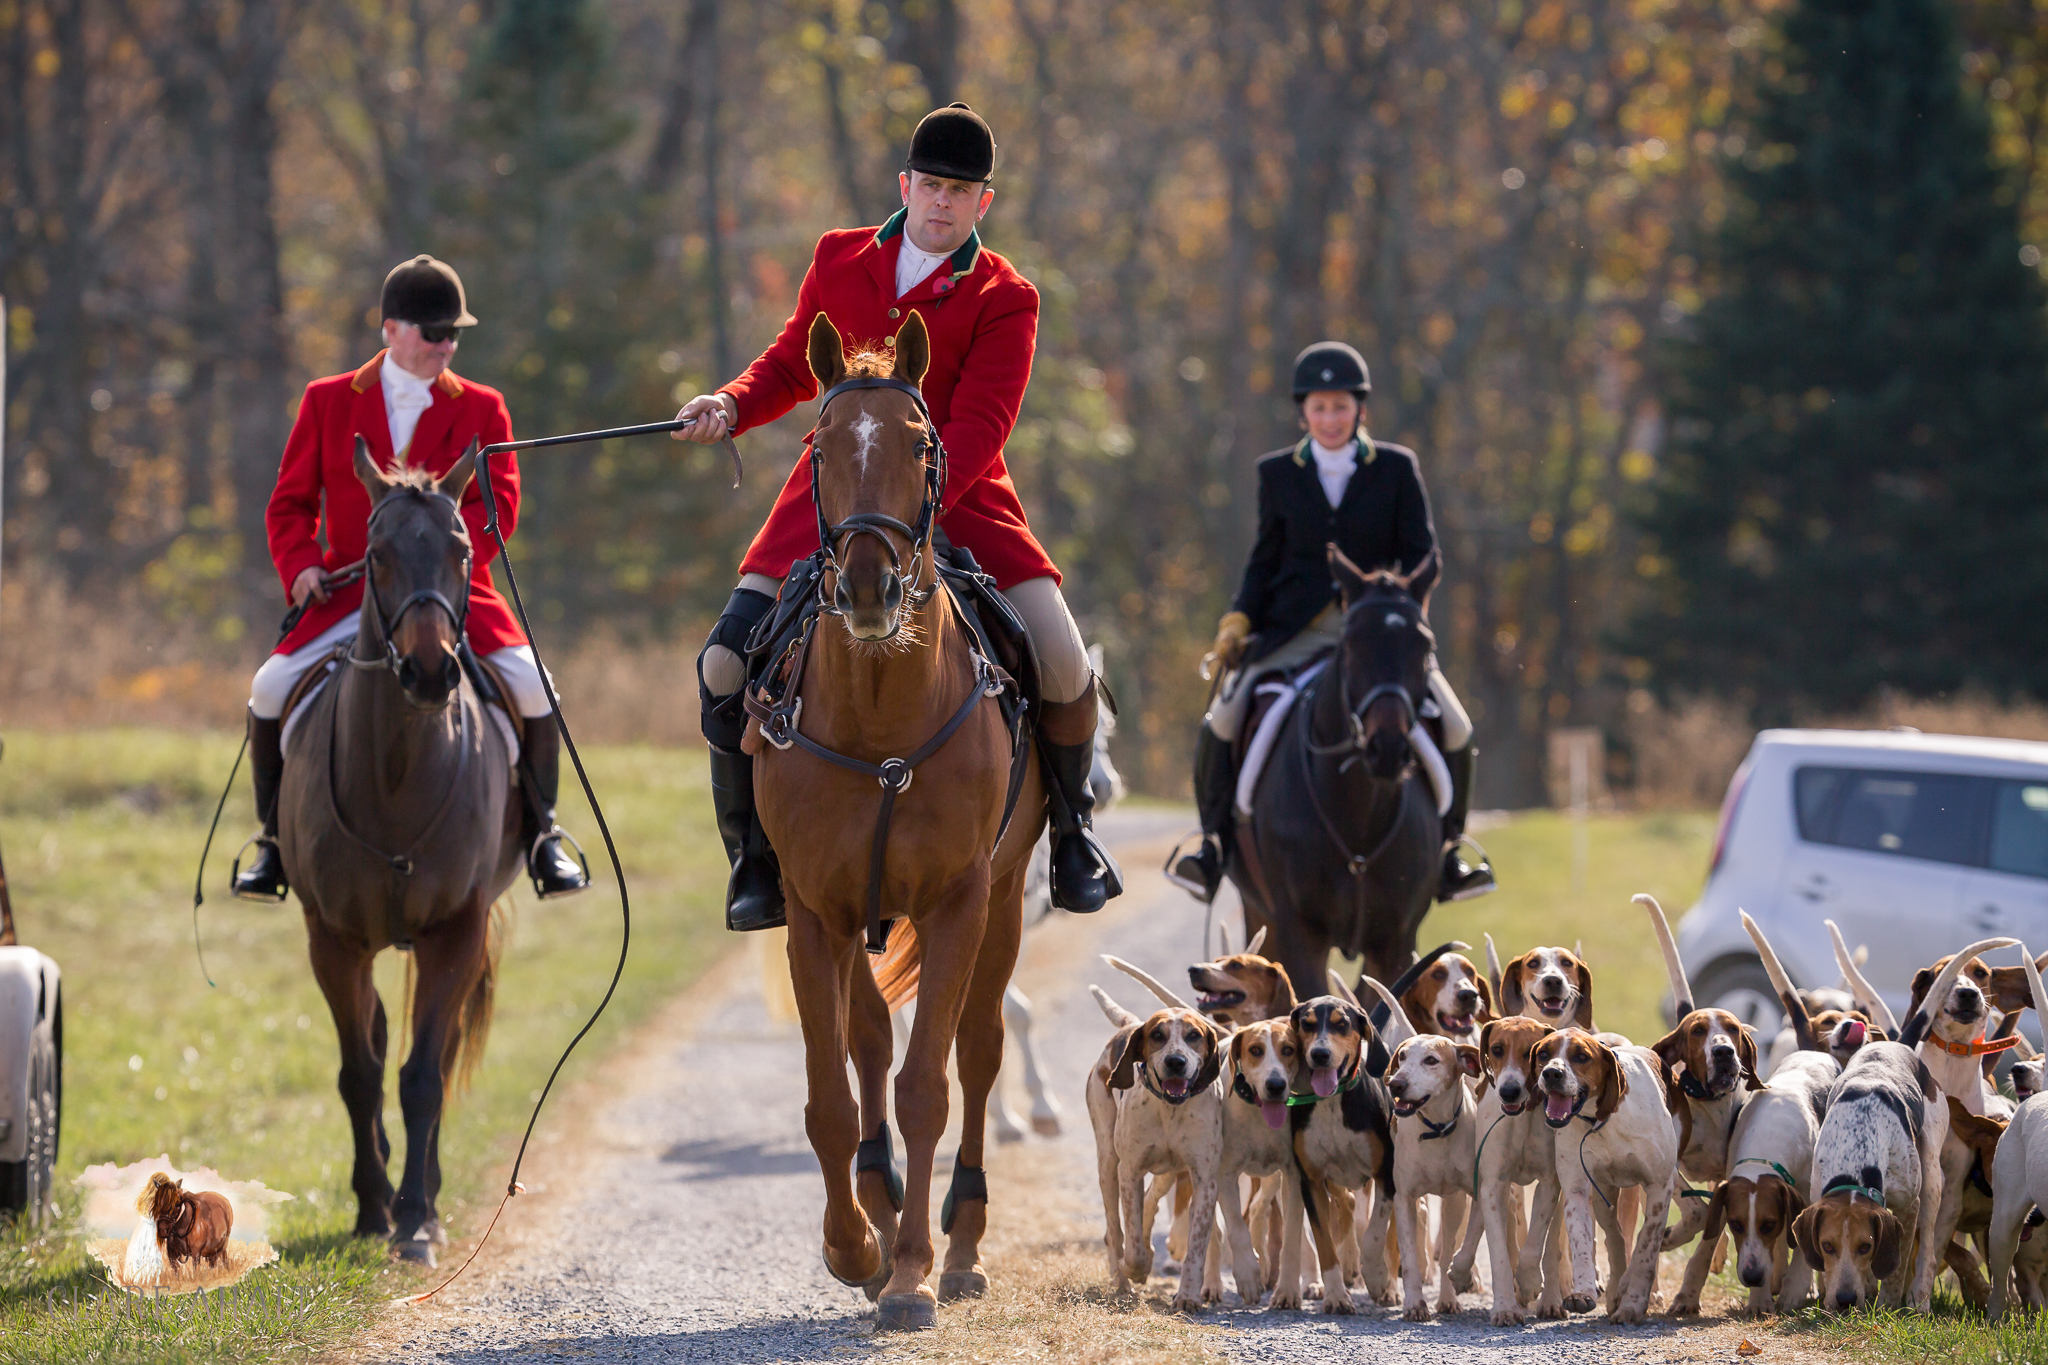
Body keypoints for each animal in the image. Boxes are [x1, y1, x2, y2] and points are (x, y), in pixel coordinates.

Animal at [278, 439, 516, 1268]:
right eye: (375, 555)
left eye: (464, 549)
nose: (430, 670)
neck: (396, 772)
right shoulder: (331, 939)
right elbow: (361, 1072)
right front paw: (373, 1204)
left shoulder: (454, 930)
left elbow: (421, 1077)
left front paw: (415, 1216)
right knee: (379, 1039)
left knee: (431, 1058)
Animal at [745, 313, 1048, 1334]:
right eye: (820, 447)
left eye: (920, 445)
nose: (871, 589)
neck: (880, 714)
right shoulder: (814, 911)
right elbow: (832, 1097)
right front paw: (855, 1248)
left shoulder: (959, 901)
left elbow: (926, 1088)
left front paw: (914, 1269)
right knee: (869, 1041)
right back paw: (876, 1214)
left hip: (1005, 900)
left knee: (980, 1048)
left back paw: (959, 1245)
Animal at [1081, 994, 1220, 1309]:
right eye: (1157, 1035)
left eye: (1194, 1035)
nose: (1176, 1061)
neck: (1170, 1108)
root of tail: (1130, 1024)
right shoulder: (1130, 1171)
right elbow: (1132, 1247)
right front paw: (1136, 1268)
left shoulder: (1205, 1179)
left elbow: (1196, 1245)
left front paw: (1188, 1296)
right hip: (1108, 1163)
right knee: (1114, 1230)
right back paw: (1122, 1281)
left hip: (1169, 1172)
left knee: (1149, 1201)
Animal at [1228, 548, 1441, 1010]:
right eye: (1353, 643)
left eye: (1425, 644)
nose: (1388, 747)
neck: (1358, 816)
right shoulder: (1297, 929)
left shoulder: (1395, 942)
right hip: (1258, 910)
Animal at [1540, 1031, 1679, 1317]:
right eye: (1543, 1054)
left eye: (1581, 1056)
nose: (1551, 1073)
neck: (1603, 1121)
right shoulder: (1577, 1189)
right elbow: (1582, 1242)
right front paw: (1583, 1292)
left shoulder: (1659, 1187)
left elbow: (1646, 1247)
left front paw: (1634, 1302)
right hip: (1603, 1196)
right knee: (1614, 1236)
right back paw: (1615, 1288)